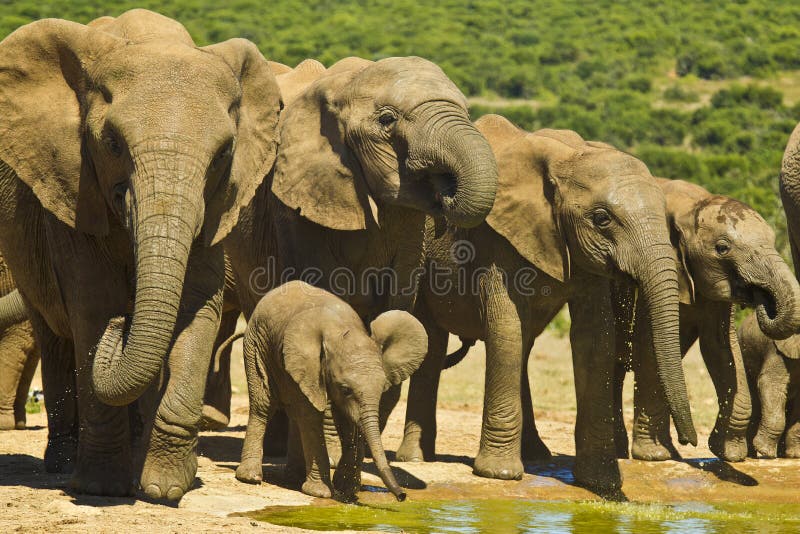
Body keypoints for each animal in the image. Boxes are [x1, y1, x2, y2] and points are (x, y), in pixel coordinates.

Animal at [0, 9, 282, 502]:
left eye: (224, 153)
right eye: (112, 143)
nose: (124, 325)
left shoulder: (218, 208)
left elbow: (198, 306)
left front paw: (166, 488)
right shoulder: (76, 190)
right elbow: (93, 304)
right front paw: (101, 489)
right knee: (53, 334)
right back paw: (64, 465)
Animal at [234, 280, 428, 502]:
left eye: (382, 389)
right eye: (345, 389)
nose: (402, 496)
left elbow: (350, 422)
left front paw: (346, 490)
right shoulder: (308, 366)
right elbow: (313, 416)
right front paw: (321, 492)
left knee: (295, 414)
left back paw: (294, 478)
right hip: (255, 344)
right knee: (263, 404)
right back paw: (250, 477)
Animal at [396, 117, 696, 494]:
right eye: (602, 219)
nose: (688, 442)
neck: (569, 158)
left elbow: (594, 337)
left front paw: (601, 483)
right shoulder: (497, 237)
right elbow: (505, 325)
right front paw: (499, 474)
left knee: (523, 345)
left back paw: (536, 455)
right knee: (435, 342)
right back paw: (416, 458)